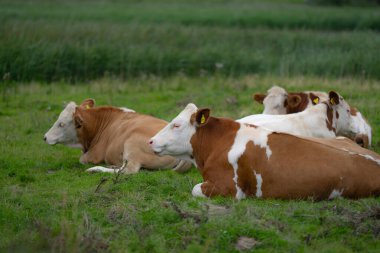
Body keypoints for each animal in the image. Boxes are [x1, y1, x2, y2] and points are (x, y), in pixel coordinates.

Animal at [44, 99, 191, 174]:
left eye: (61, 124)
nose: (45, 137)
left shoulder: (94, 155)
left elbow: (82, 159)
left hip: (132, 143)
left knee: (129, 170)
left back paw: (96, 169)